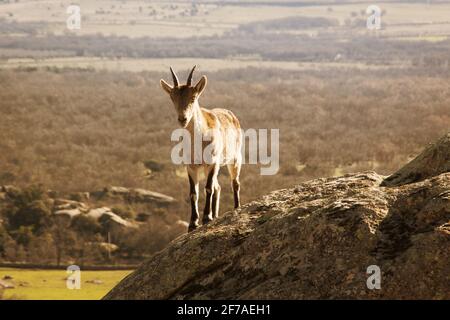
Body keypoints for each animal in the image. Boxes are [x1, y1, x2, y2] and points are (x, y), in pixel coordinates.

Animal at [160, 65, 241, 231]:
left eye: (193, 98)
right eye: (173, 98)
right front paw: (193, 223)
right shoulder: (191, 166)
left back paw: (236, 208)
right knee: (218, 187)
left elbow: (208, 188)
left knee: (234, 183)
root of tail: (231, 115)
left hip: (234, 158)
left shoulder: (213, 163)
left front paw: (206, 218)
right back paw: (216, 215)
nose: (182, 119)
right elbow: (193, 193)